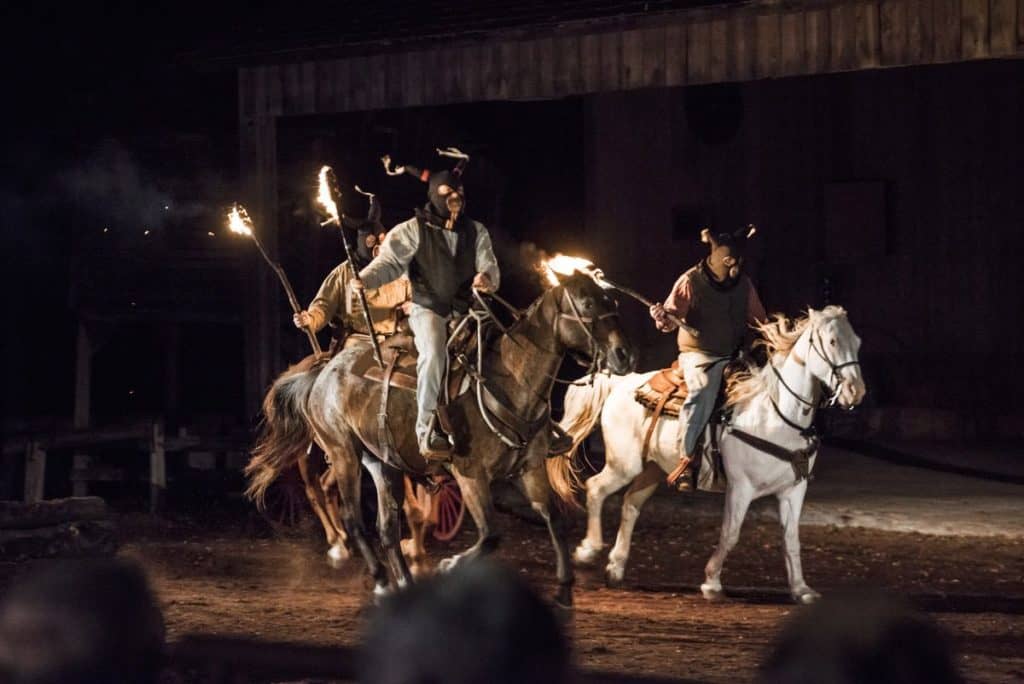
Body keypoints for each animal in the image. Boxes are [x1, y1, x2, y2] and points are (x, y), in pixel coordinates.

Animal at [245, 272, 630, 602]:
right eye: (587, 303)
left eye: (609, 299)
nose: (624, 355)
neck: (507, 381)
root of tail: (324, 371)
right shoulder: (471, 475)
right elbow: (490, 534)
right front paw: (449, 564)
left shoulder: (531, 468)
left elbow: (554, 520)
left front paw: (565, 589)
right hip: (343, 455)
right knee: (352, 518)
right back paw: (376, 576)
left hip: (382, 463)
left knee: (387, 528)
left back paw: (401, 582)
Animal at [552, 307, 864, 602]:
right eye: (832, 341)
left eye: (857, 342)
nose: (856, 391)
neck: (774, 414)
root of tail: (620, 383)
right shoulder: (741, 487)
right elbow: (731, 533)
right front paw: (712, 582)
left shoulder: (793, 490)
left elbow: (791, 539)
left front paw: (801, 589)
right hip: (624, 465)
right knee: (595, 488)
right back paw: (588, 551)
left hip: (652, 468)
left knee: (630, 504)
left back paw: (615, 567)